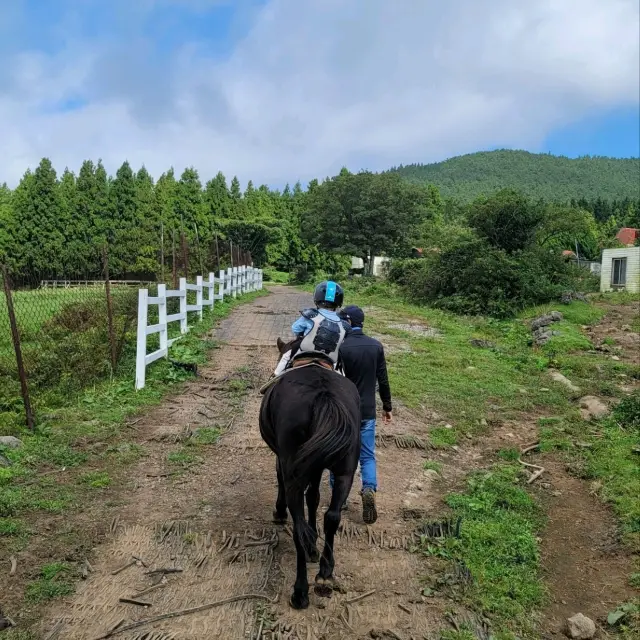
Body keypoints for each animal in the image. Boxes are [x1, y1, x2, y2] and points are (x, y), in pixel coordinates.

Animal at [258, 338, 360, 608]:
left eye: (284, 356)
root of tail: (323, 396)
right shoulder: (314, 466)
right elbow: (313, 498)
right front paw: (315, 544)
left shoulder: (284, 460)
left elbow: (283, 483)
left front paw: (279, 512)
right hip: (346, 471)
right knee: (332, 516)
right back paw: (325, 573)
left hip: (295, 468)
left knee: (298, 527)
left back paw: (300, 591)